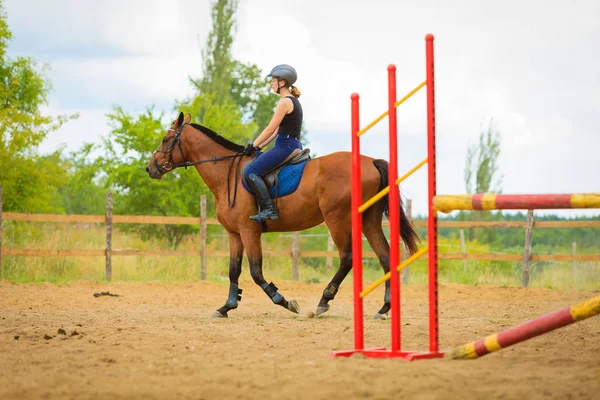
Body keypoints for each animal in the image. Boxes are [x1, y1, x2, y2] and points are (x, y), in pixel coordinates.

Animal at [146, 111, 418, 318]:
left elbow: (256, 272)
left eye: (165, 139)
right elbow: (234, 270)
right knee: (385, 256)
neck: (225, 173)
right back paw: (383, 308)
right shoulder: (235, 234)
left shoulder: (249, 231)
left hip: (337, 219)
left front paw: (284, 301)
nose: (150, 168)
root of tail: (370, 161)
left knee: (347, 258)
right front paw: (226, 307)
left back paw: (324, 301)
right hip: (369, 219)